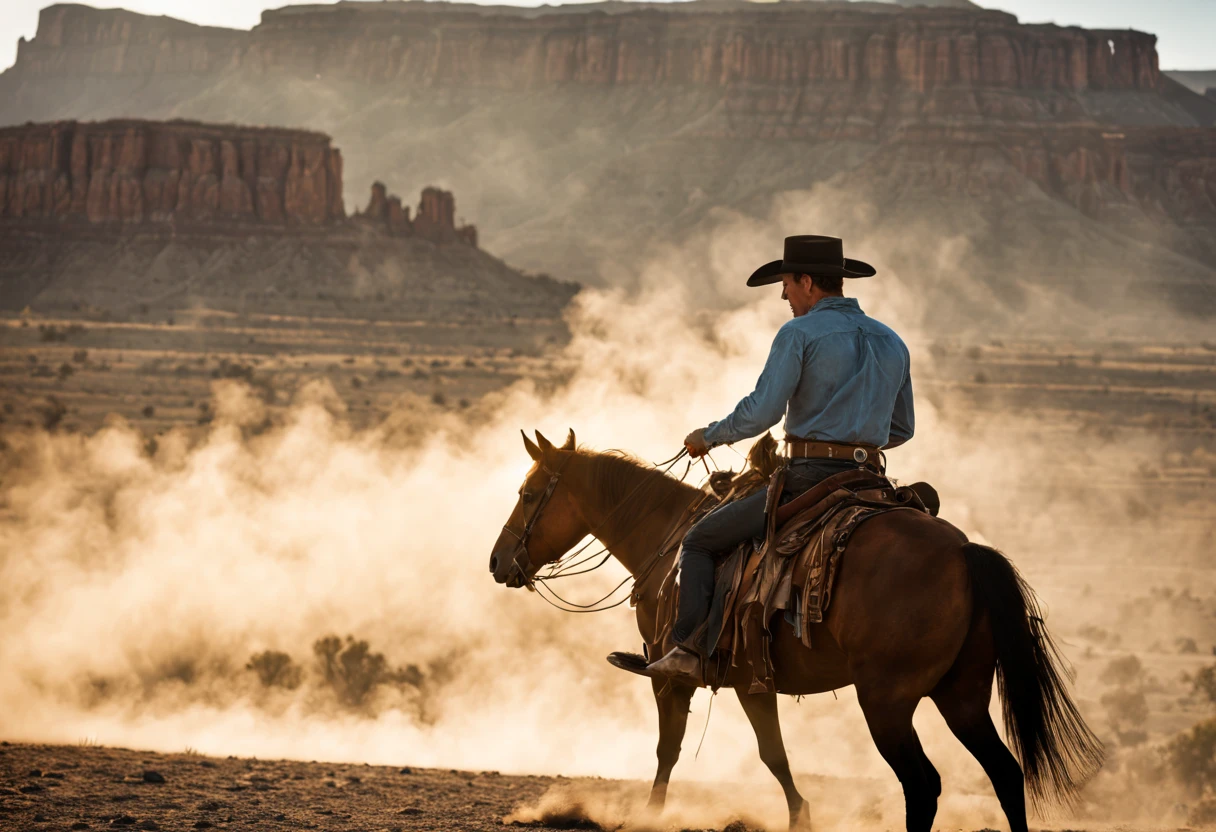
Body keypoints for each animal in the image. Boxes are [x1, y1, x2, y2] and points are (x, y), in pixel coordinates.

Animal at [488, 433, 1108, 827]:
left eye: (527, 493)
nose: (498, 562)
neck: (668, 542)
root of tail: (963, 551)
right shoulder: (752, 679)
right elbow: (776, 755)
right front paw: (800, 816)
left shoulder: (672, 676)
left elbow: (669, 748)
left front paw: (651, 816)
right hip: (962, 695)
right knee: (1005, 773)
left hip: (887, 702)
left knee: (923, 785)